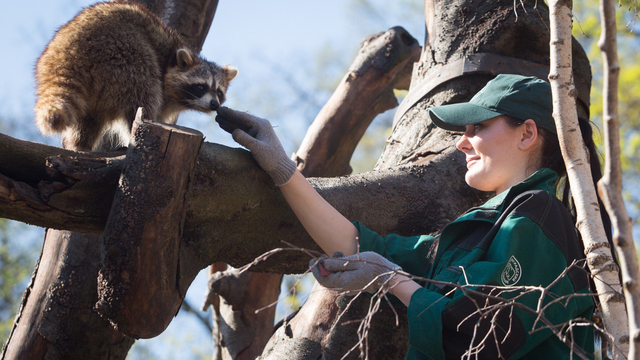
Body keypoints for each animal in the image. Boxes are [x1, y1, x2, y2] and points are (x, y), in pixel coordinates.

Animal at [33, 1, 238, 151]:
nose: (214, 104)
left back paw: (80, 145)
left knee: (88, 119)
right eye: (201, 86)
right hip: (124, 51)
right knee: (145, 90)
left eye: (219, 92)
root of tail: (66, 45)